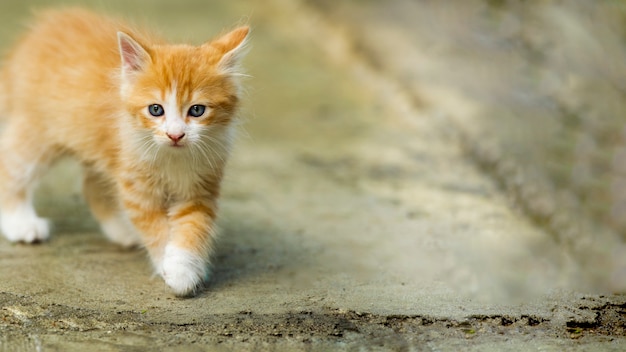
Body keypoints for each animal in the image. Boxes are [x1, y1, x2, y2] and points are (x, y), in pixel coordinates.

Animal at [0, 7, 249, 296]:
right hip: (36, 132)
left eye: (197, 110)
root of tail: (31, 38)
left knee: (92, 187)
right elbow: (157, 230)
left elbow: (193, 227)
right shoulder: (136, 185)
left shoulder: (199, 188)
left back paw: (122, 230)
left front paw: (184, 268)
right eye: (156, 109)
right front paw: (170, 268)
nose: (175, 135)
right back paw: (20, 224)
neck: (172, 157)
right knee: (10, 166)